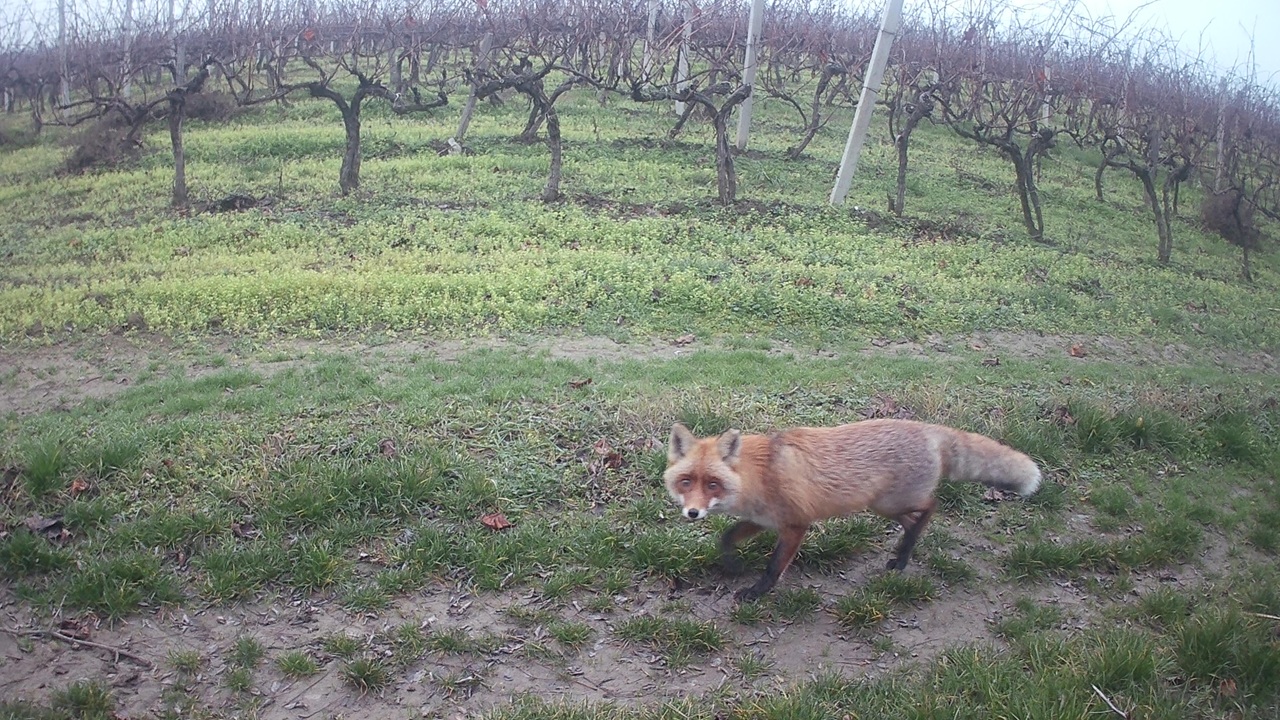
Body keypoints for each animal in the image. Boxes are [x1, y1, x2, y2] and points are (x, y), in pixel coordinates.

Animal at [664, 419, 1042, 602]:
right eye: (687, 481)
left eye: (713, 484)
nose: (692, 513)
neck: (759, 474)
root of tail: (928, 428)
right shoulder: (764, 520)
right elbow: (727, 537)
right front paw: (732, 565)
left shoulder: (796, 524)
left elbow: (773, 567)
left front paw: (756, 593)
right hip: (884, 506)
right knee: (913, 521)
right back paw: (901, 556)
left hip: (890, 503)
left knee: (930, 507)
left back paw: (904, 555)